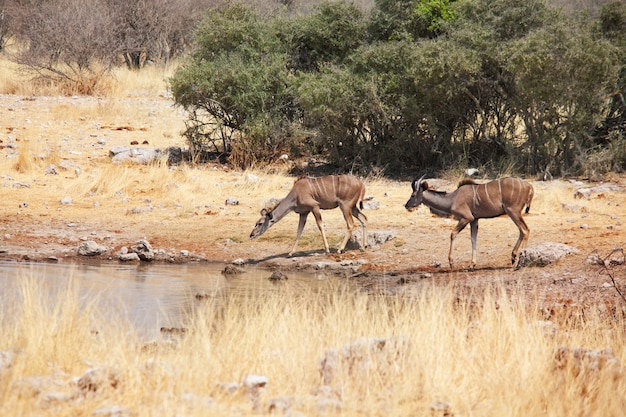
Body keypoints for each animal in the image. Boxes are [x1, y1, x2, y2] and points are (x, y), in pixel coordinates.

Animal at [404, 176, 532, 270]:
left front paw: (451, 263)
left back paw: (522, 261)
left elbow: (453, 234)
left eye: (413, 195)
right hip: (514, 213)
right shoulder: (474, 220)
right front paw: (471, 265)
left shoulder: (466, 218)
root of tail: (529, 186)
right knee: (522, 231)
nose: (406, 206)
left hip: (513, 211)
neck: (452, 199)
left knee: (525, 230)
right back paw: (513, 257)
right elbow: (473, 239)